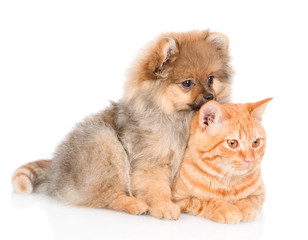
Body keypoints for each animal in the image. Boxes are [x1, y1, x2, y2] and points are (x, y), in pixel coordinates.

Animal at [13, 29, 232, 219]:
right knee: (107, 196)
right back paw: (132, 204)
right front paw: (164, 206)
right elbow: (156, 187)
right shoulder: (152, 162)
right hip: (104, 143)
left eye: (211, 79)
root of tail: (54, 169)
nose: (210, 96)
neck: (181, 118)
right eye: (187, 83)